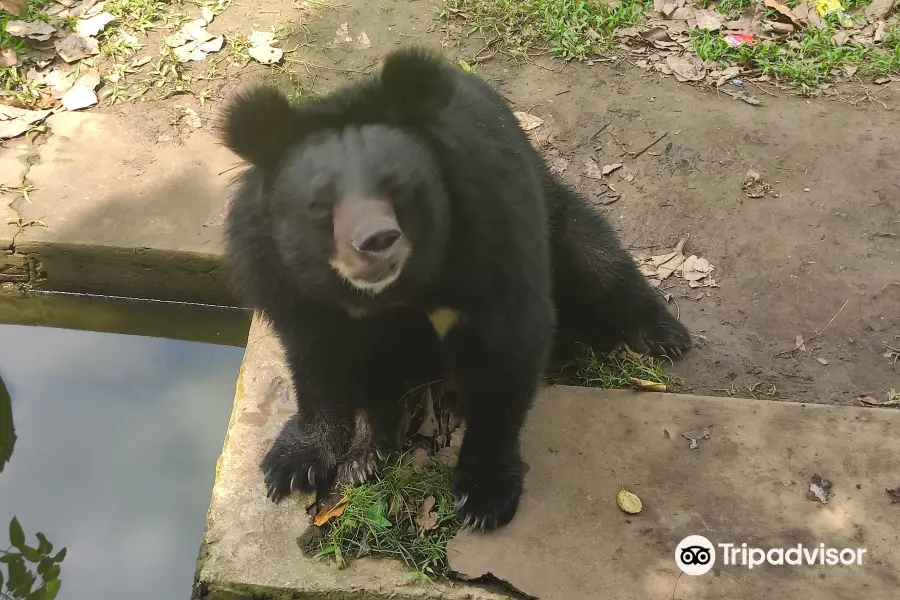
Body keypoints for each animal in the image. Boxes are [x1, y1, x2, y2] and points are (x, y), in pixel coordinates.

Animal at [221, 48, 692, 536]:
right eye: (320, 205)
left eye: (397, 190)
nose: (377, 240)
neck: (386, 294)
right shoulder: (284, 281)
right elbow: (316, 362)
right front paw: (292, 464)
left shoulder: (491, 235)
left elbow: (506, 353)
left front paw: (484, 494)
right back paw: (367, 452)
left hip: (557, 222)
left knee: (596, 257)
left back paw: (664, 335)